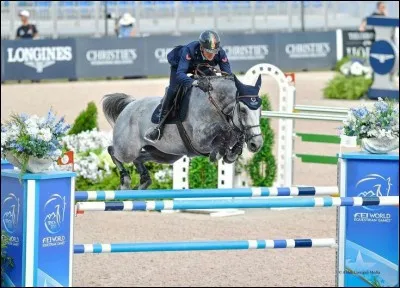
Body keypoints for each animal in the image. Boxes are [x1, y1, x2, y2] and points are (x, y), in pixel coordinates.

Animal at [103, 73, 264, 190]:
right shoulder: (200, 139)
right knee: (113, 151)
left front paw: (234, 148)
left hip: (164, 155)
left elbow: (232, 145)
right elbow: (220, 133)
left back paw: (144, 182)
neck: (215, 105)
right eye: (243, 110)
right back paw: (125, 182)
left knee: (139, 158)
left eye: (260, 110)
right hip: (127, 149)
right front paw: (217, 153)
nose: (257, 144)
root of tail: (128, 106)